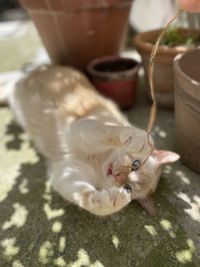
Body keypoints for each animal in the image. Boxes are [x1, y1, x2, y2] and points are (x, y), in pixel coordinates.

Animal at [8, 65, 180, 218]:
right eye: (135, 164)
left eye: (128, 188)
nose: (118, 175)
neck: (98, 163)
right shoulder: (80, 128)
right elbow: (108, 132)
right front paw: (137, 139)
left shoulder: (66, 173)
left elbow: (84, 196)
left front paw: (110, 202)